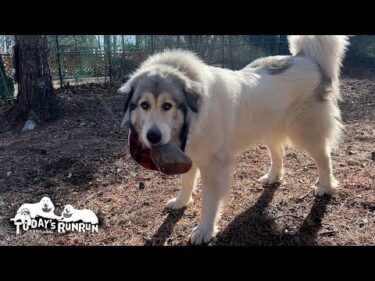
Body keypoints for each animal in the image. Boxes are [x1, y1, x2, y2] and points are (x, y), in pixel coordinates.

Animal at [120, 36, 350, 244]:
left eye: (167, 106)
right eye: (144, 105)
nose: (153, 136)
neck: (194, 114)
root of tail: (306, 58)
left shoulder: (213, 167)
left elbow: (209, 202)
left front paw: (204, 230)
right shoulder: (191, 154)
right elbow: (186, 182)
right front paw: (181, 202)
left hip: (305, 132)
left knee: (324, 158)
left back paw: (325, 186)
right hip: (269, 129)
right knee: (278, 154)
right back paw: (273, 177)